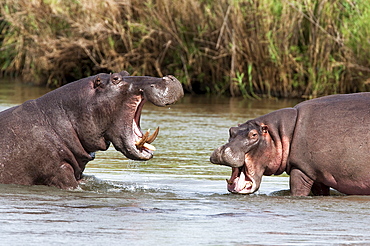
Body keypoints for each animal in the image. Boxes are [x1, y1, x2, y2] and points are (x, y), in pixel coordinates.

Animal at [211, 92, 370, 196]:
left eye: (254, 135)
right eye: (231, 130)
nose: (223, 150)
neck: (280, 133)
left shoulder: (301, 169)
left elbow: (297, 191)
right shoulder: (317, 174)